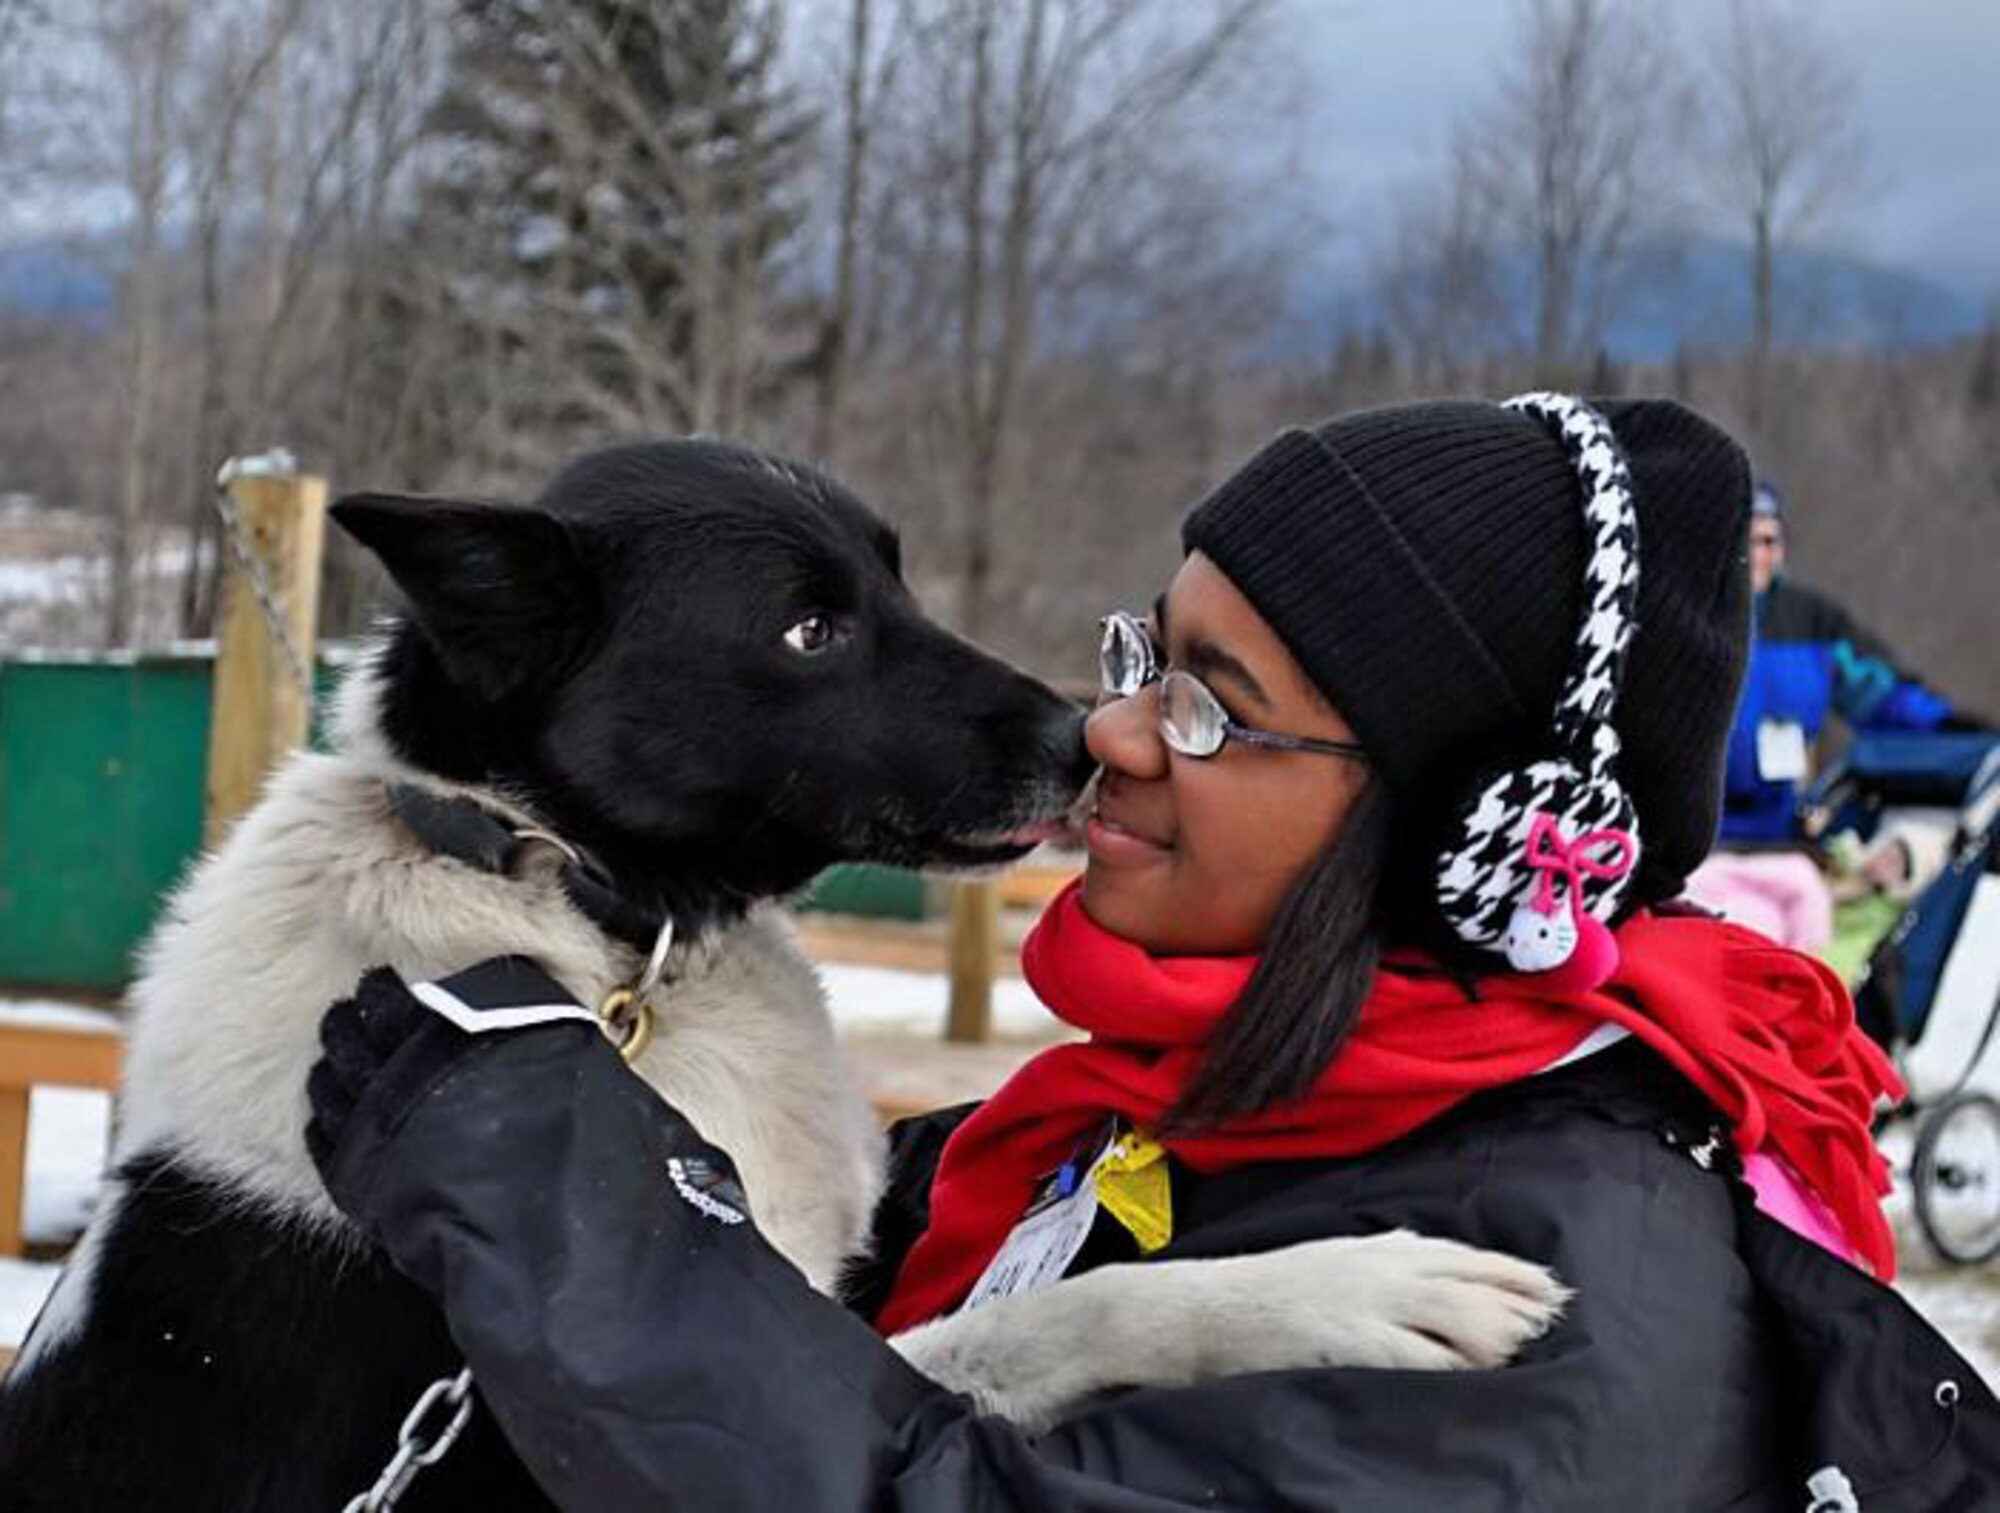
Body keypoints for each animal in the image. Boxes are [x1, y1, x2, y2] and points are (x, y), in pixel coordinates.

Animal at [0, 442, 1560, 1504]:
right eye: (810, 628)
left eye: (895, 581)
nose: (1080, 743)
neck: (601, 928)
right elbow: (1062, 1312)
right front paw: (1360, 1288)